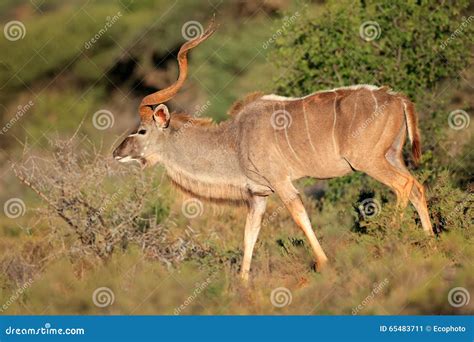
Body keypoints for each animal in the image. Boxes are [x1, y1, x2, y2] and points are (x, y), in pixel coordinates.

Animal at [113, 19, 432, 280]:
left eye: (142, 130)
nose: (116, 152)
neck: (235, 140)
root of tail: (397, 98)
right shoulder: (258, 195)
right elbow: (249, 235)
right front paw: (242, 285)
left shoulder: (281, 183)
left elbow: (299, 217)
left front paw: (323, 264)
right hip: (392, 156)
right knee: (417, 186)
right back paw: (431, 243)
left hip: (370, 161)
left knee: (404, 185)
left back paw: (389, 239)